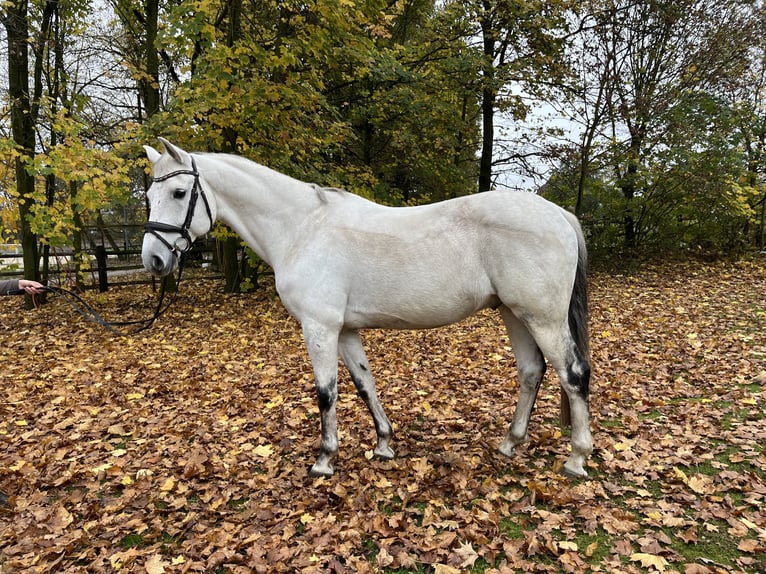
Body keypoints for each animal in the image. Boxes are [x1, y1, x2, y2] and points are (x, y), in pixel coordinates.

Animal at [146, 141, 600, 482]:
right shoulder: (345, 330)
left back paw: (577, 458)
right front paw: (383, 443)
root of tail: (559, 214)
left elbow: (326, 392)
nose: (154, 260)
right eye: (149, 195)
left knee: (572, 374)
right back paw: (510, 442)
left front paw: (324, 459)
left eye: (179, 193)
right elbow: (365, 384)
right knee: (532, 371)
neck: (302, 229)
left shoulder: (320, 327)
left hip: (543, 318)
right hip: (514, 313)